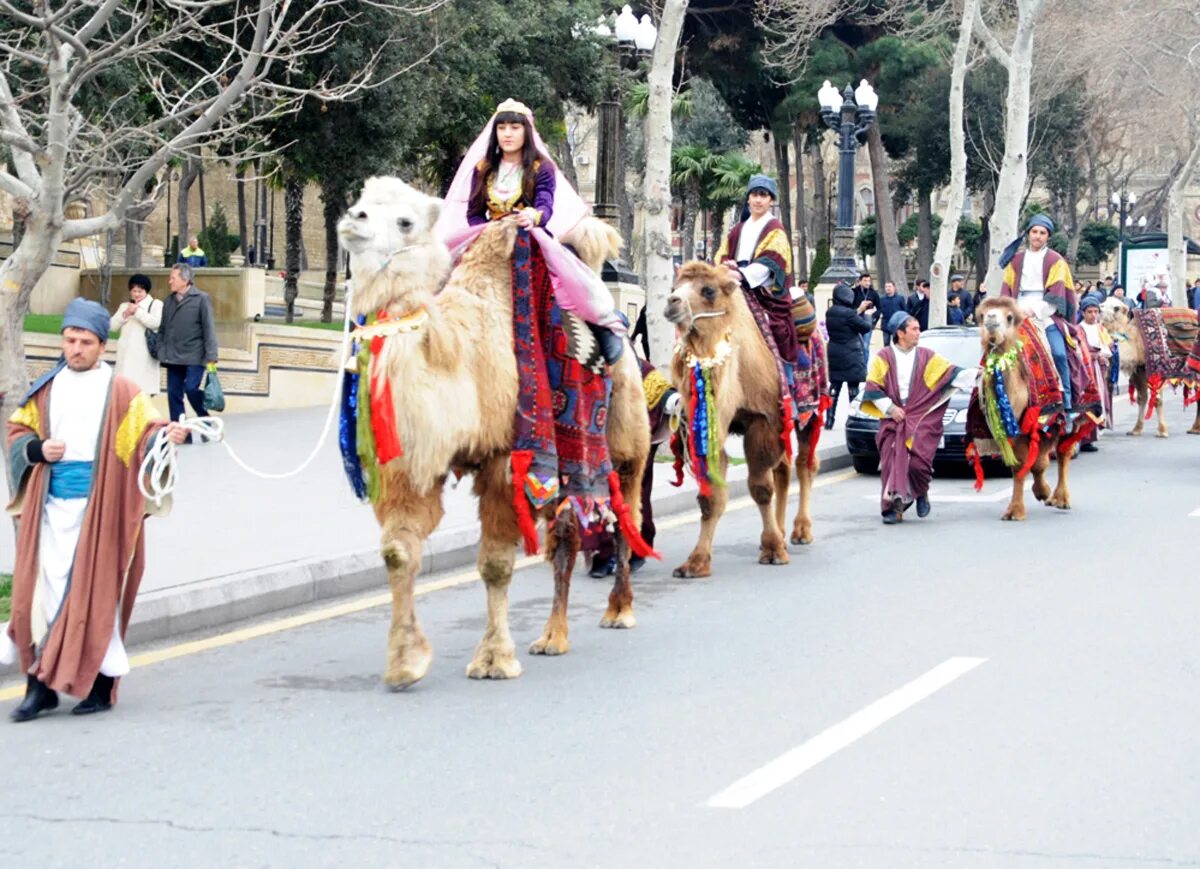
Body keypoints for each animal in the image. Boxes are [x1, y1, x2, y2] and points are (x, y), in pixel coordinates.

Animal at [338, 176, 652, 691]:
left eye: (405, 221)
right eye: (362, 203)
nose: (352, 219)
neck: (459, 357)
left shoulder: (506, 458)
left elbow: (495, 564)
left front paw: (494, 660)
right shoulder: (410, 462)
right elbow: (398, 552)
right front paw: (405, 663)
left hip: (627, 446)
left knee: (624, 519)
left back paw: (619, 612)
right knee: (566, 534)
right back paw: (552, 636)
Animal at [662, 261, 820, 580]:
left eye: (708, 291)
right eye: (675, 287)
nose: (672, 302)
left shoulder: (763, 419)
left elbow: (760, 488)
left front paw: (773, 551)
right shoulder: (709, 423)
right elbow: (710, 496)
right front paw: (695, 563)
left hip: (808, 412)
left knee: (804, 464)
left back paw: (800, 531)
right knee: (784, 468)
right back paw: (782, 530)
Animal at [974, 295, 1099, 518]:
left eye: (1009, 317)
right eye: (981, 315)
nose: (990, 319)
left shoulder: (1044, 420)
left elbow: (1038, 463)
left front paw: (1041, 493)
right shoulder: (1013, 427)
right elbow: (1020, 466)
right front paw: (1016, 509)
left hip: (1074, 416)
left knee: (1064, 453)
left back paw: (1061, 499)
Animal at [1099, 296, 1200, 434]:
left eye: (1116, 307)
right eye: (1104, 301)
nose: (1099, 307)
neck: (1136, 338)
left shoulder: (1156, 367)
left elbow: (1157, 399)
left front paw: (1162, 431)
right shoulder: (1139, 368)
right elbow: (1142, 397)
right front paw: (1136, 429)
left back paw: (1195, 428)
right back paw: (1194, 428)